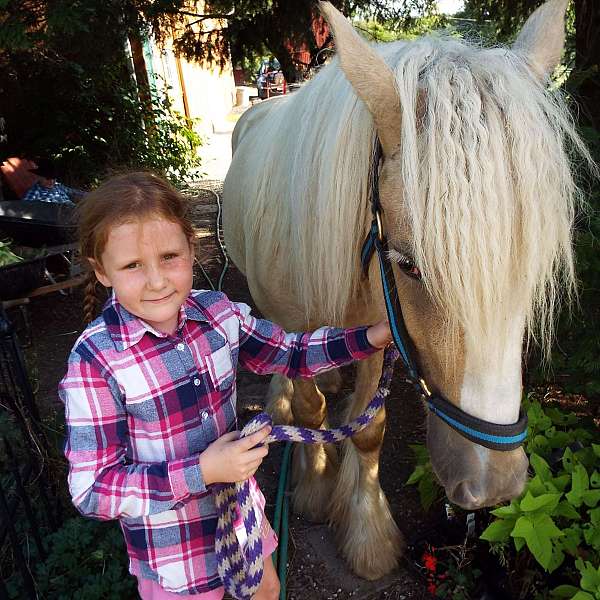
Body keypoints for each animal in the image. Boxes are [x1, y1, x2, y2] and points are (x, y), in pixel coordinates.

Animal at [223, 1, 588, 580]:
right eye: (410, 265)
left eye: (533, 265)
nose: (493, 483)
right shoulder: (299, 321)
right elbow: (308, 406)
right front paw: (315, 486)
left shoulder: (380, 329)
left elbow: (368, 426)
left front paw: (366, 529)